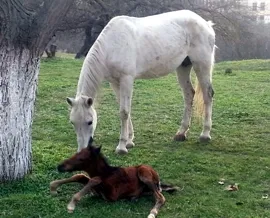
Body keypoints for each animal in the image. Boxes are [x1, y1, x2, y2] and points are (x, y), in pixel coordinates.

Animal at [49, 139, 178, 217]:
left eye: (82, 159)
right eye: (76, 153)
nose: (60, 166)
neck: (106, 173)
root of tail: (159, 181)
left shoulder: (112, 195)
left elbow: (94, 179)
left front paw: (71, 205)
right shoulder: (96, 190)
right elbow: (80, 176)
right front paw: (53, 187)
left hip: (144, 173)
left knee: (160, 197)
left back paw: (152, 213)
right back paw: (134, 197)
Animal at [67, 9, 215, 153]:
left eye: (90, 122)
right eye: (73, 122)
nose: (82, 150)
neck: (112, 45)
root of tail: (205, 24)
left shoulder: (126, 79)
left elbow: (124, 112)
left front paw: (122, 147)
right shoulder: (114, 82)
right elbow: (125, 109)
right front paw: (129, 141)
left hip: (201, 65)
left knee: (207, 95)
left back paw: (205, 134)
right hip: (183, 67)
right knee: (189, 94)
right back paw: (181, 133)